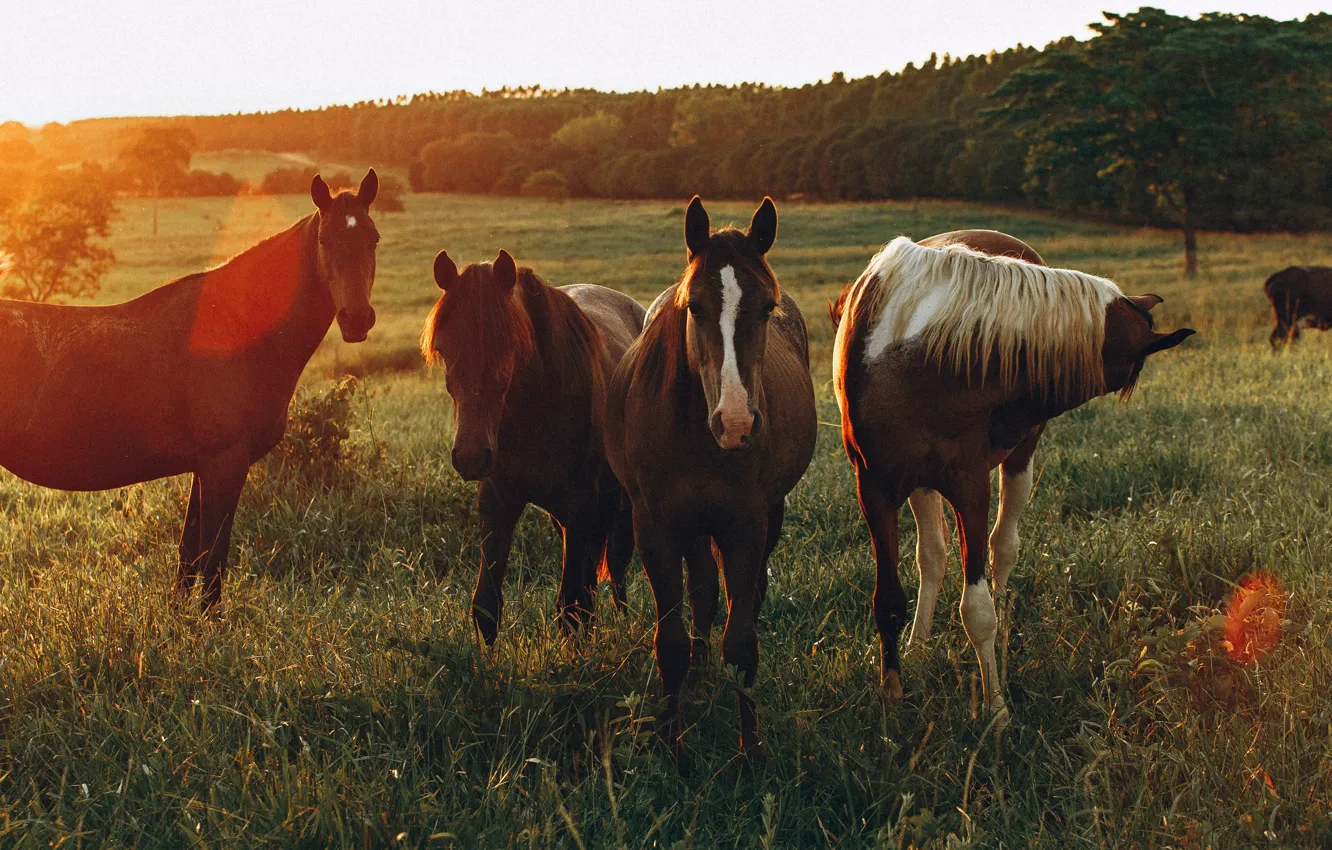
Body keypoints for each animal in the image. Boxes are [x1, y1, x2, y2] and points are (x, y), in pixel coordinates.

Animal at [0, 170, 381, 612]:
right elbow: (213, 555)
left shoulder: (203, 467)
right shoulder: (224, 463)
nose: (356, 319)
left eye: (373, 238)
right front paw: (209, 621)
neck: (235, 328)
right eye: (324, 240)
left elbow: (189, 555)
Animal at [421, 249, 645, 643]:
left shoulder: (580, 504)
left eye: (508, 346)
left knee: (615, 568)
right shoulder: (498, 501)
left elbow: (571, 607)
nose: (471, 457)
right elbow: (486, 606)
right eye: (444, 349)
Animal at [605, 197, 817, 763]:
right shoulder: (655, 528)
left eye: (766, 307)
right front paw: (670, 745)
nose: (737, 423)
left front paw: (751, 750)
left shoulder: (746, 525)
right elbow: (672, 642)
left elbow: (741, 644)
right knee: (701, 591)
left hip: (765, 517)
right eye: (695, 306)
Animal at [831, 229, 1194, 724]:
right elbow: (887, 599)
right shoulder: (875, 488)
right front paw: (892, 694)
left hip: (1017, 463)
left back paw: (1000, 640)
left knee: (1002, 550)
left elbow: (978, 608)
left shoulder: (970, 487)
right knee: (933, 555)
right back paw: (921, 643)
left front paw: (996, 707)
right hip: (920, 483)